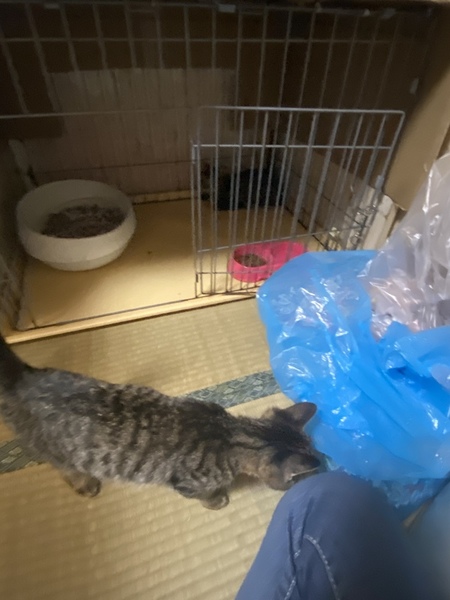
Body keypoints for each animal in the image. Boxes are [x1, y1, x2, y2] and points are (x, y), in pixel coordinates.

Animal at [0, 334, 320, 509]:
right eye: (297, 479)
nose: (321, 465)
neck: (232, 435)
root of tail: (25, 378)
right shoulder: (185, 484)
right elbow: (205, 494)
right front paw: (216, 500)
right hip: (59, 450)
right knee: (64, 467)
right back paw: (84, 483)